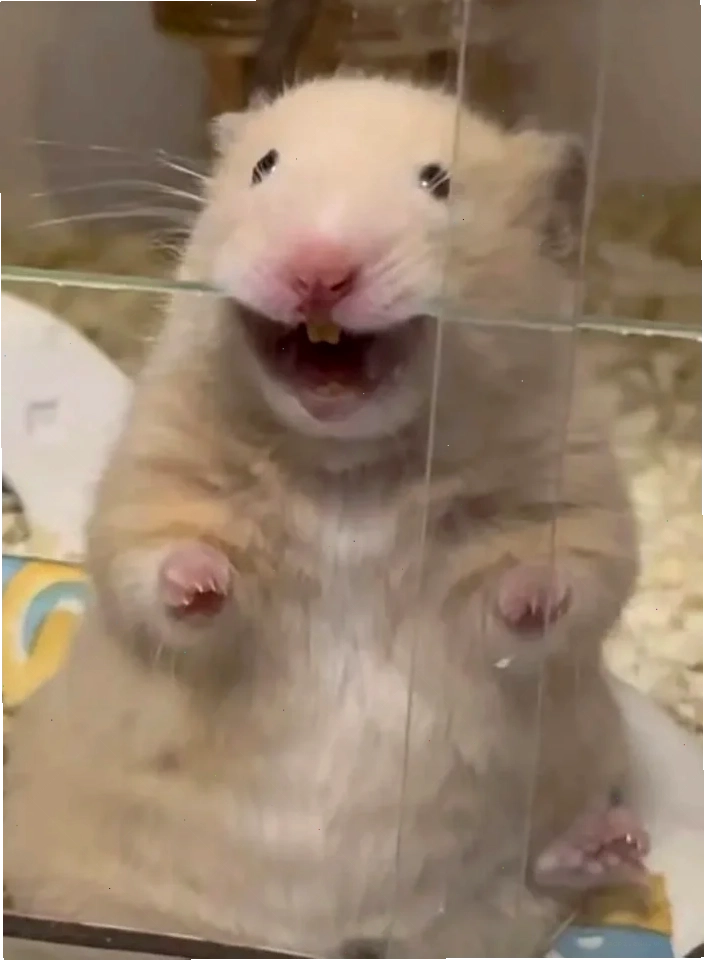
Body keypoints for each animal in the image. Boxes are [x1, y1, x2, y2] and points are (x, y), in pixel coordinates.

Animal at [3, 75, 646, 960]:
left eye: (438, 182)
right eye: (264, 168)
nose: (320, 273)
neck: (349, 466)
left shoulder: (571, 481)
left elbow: (569, 575)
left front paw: (529, 593)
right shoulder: (154, 471)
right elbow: (155, 558)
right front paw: (203, 582)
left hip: (493, 907)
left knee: (535, 885)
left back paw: (607, 845)